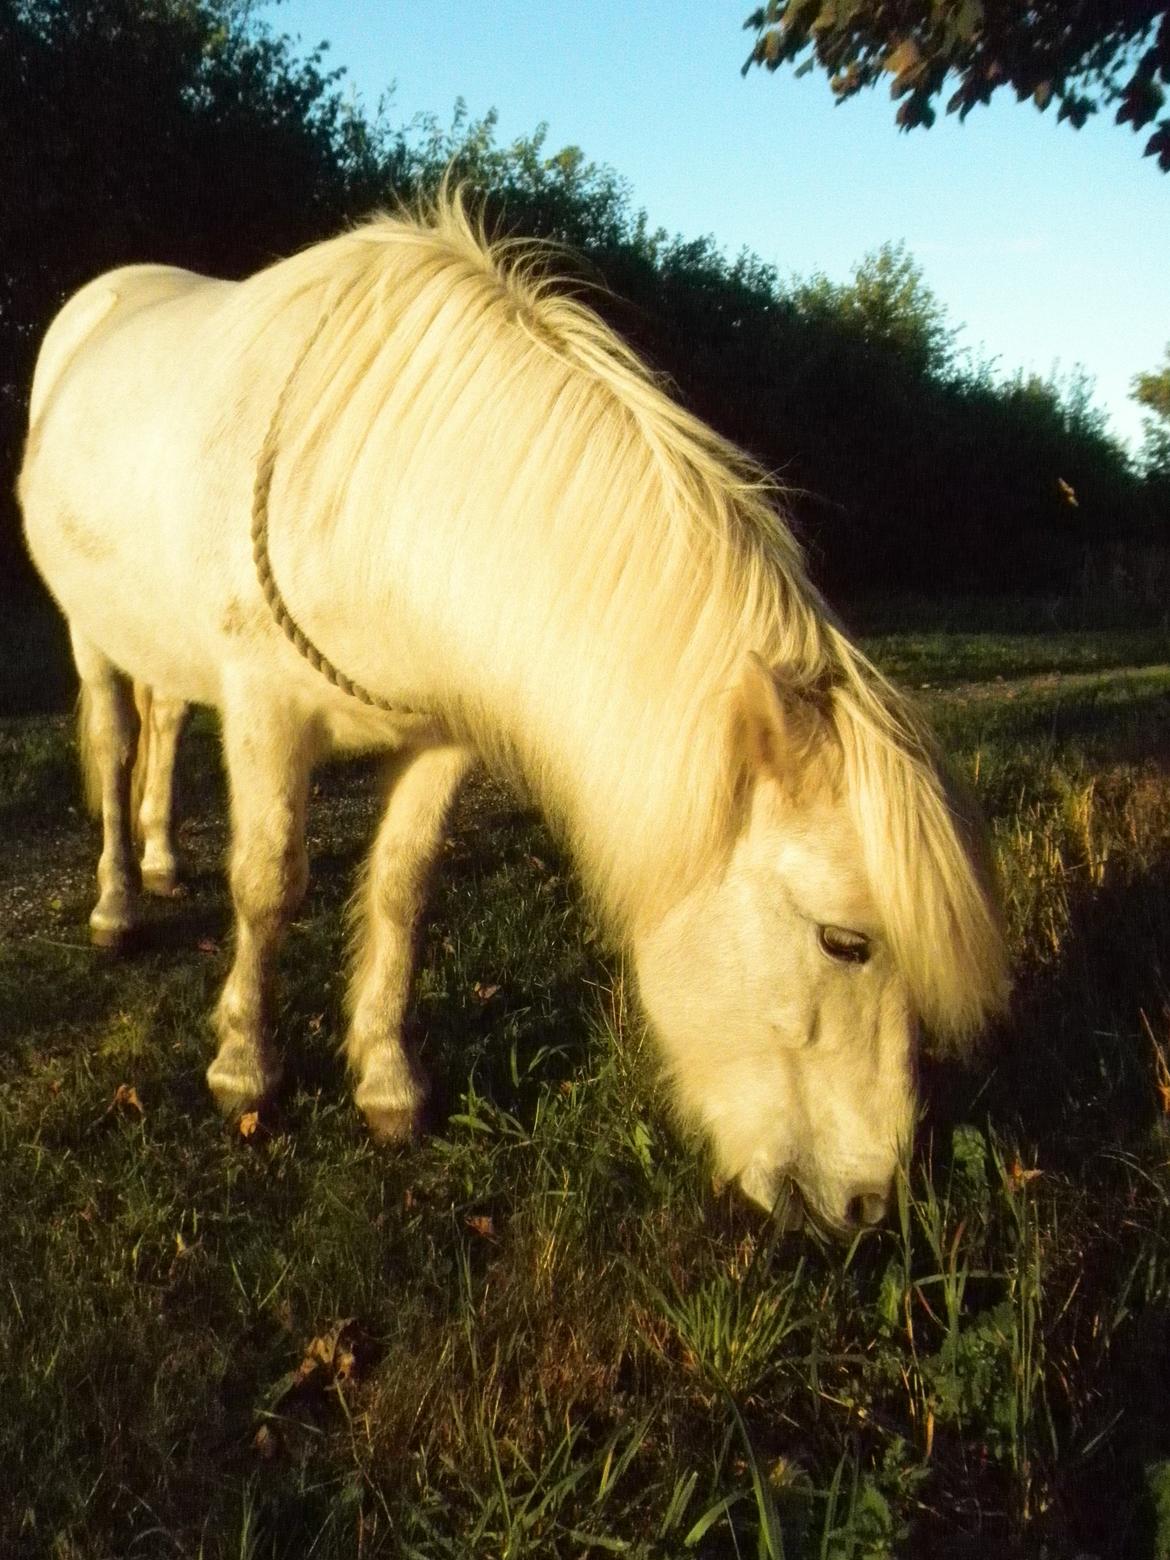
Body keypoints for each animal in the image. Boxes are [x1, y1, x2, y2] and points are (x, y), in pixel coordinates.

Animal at [15, 188, 1010, 1229]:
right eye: (844, 941)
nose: (867, 1204)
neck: (379, 497)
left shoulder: (441, 741)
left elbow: (403, 890)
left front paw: (388, 1082)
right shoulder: (266, 714)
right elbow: (268, 882)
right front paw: (246, 1068)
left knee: (166, 721)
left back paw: (165, 863)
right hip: (89, 634)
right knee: (118, 742)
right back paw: (120, 903)